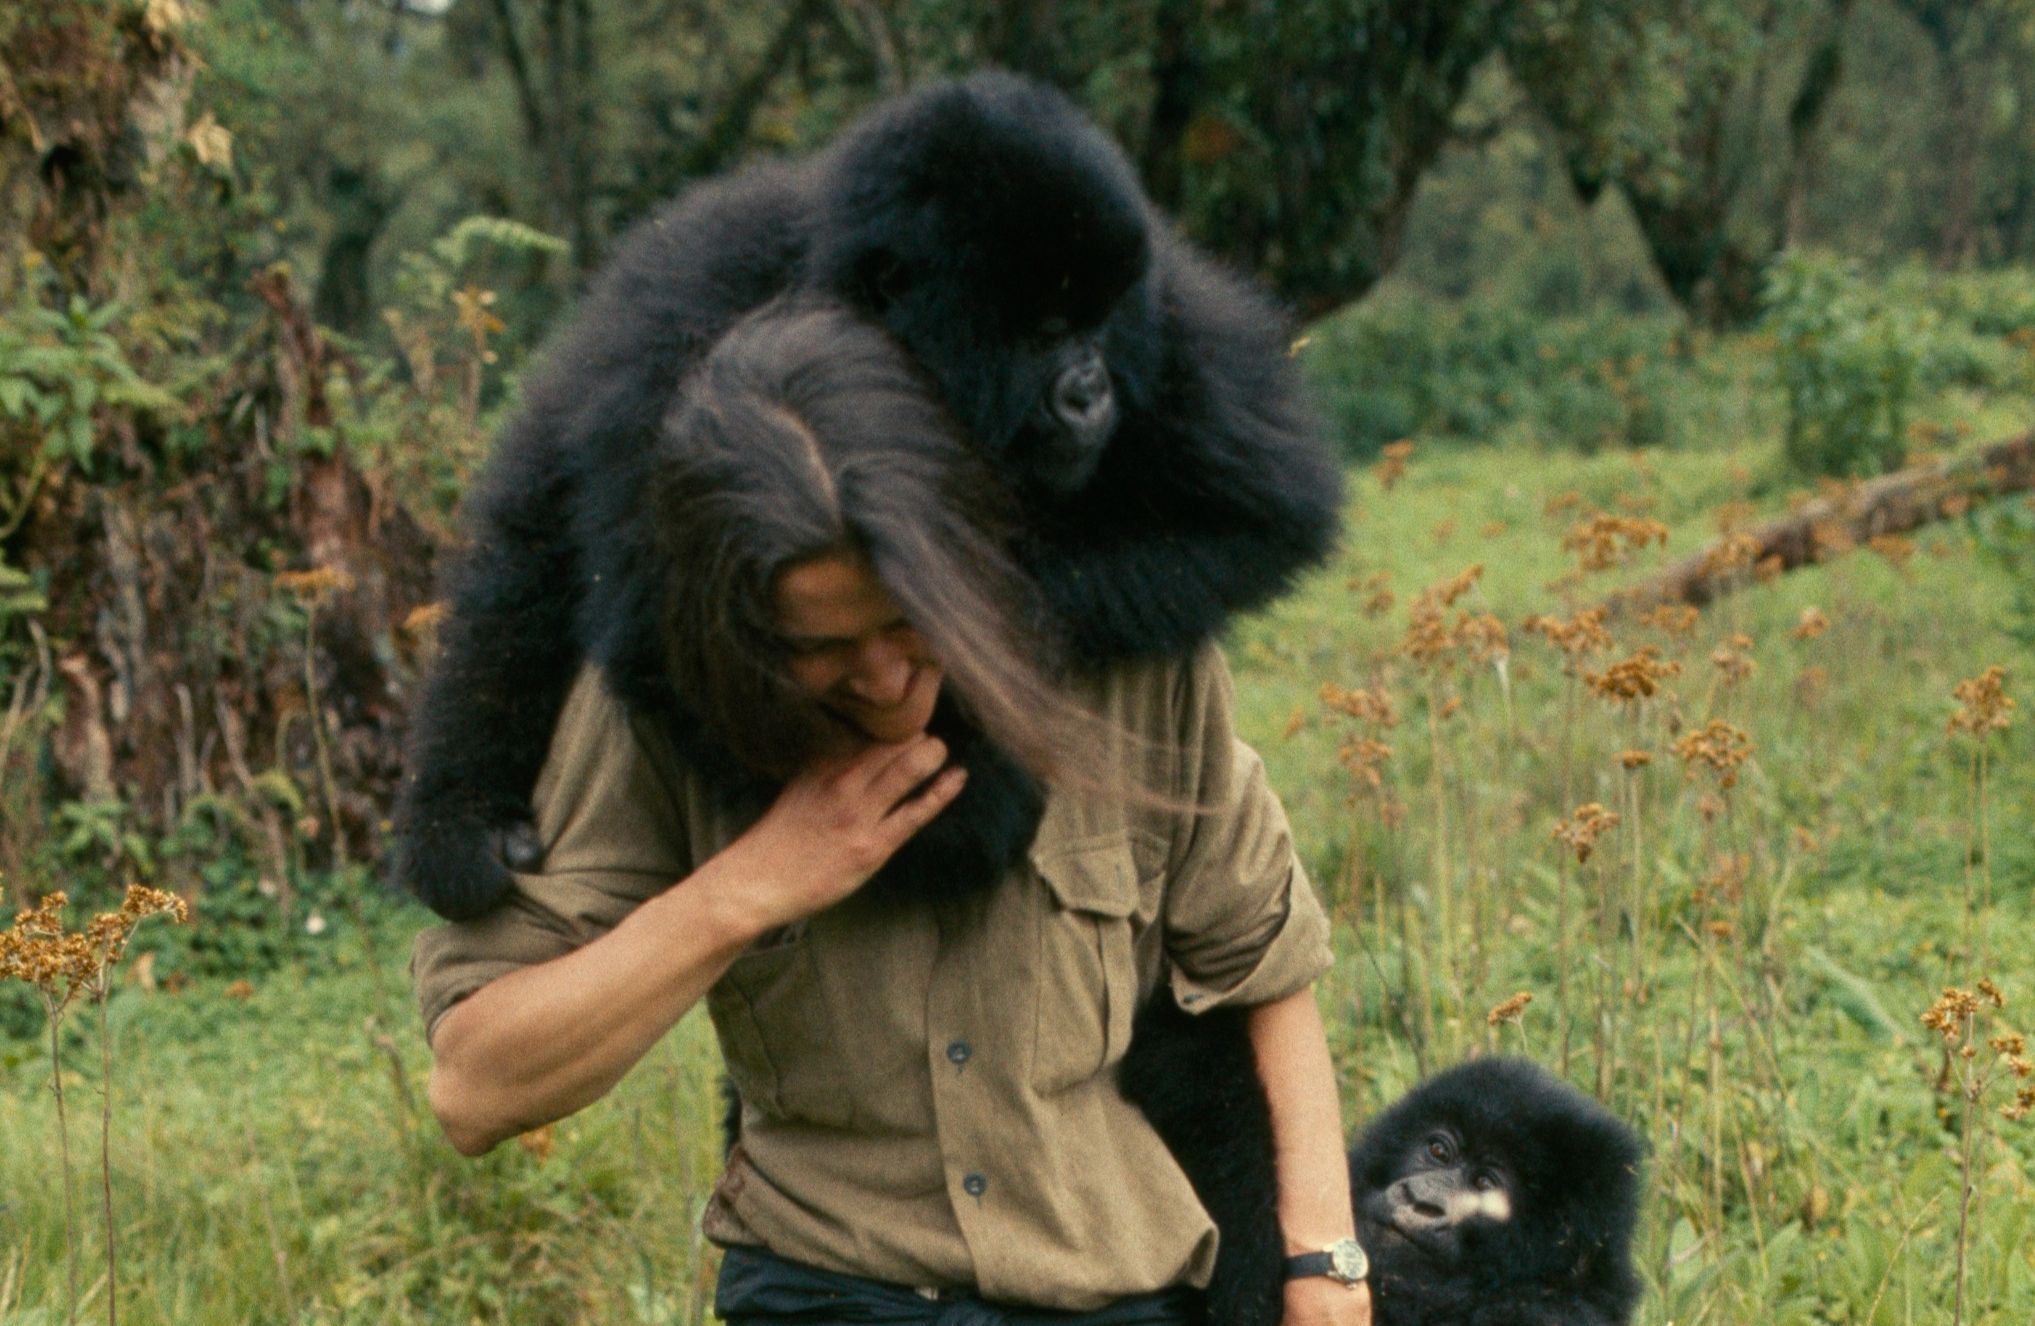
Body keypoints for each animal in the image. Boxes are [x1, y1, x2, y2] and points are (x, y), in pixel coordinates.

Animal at [396, 70, 1351, 923]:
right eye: (1045, 331)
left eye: (1097, 321)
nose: (1091, 392)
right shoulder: (695, 327)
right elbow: (666, 627)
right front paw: (963, 814)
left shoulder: (1170, 323)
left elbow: (1260, 513)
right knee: (524, 556)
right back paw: (457, 819)